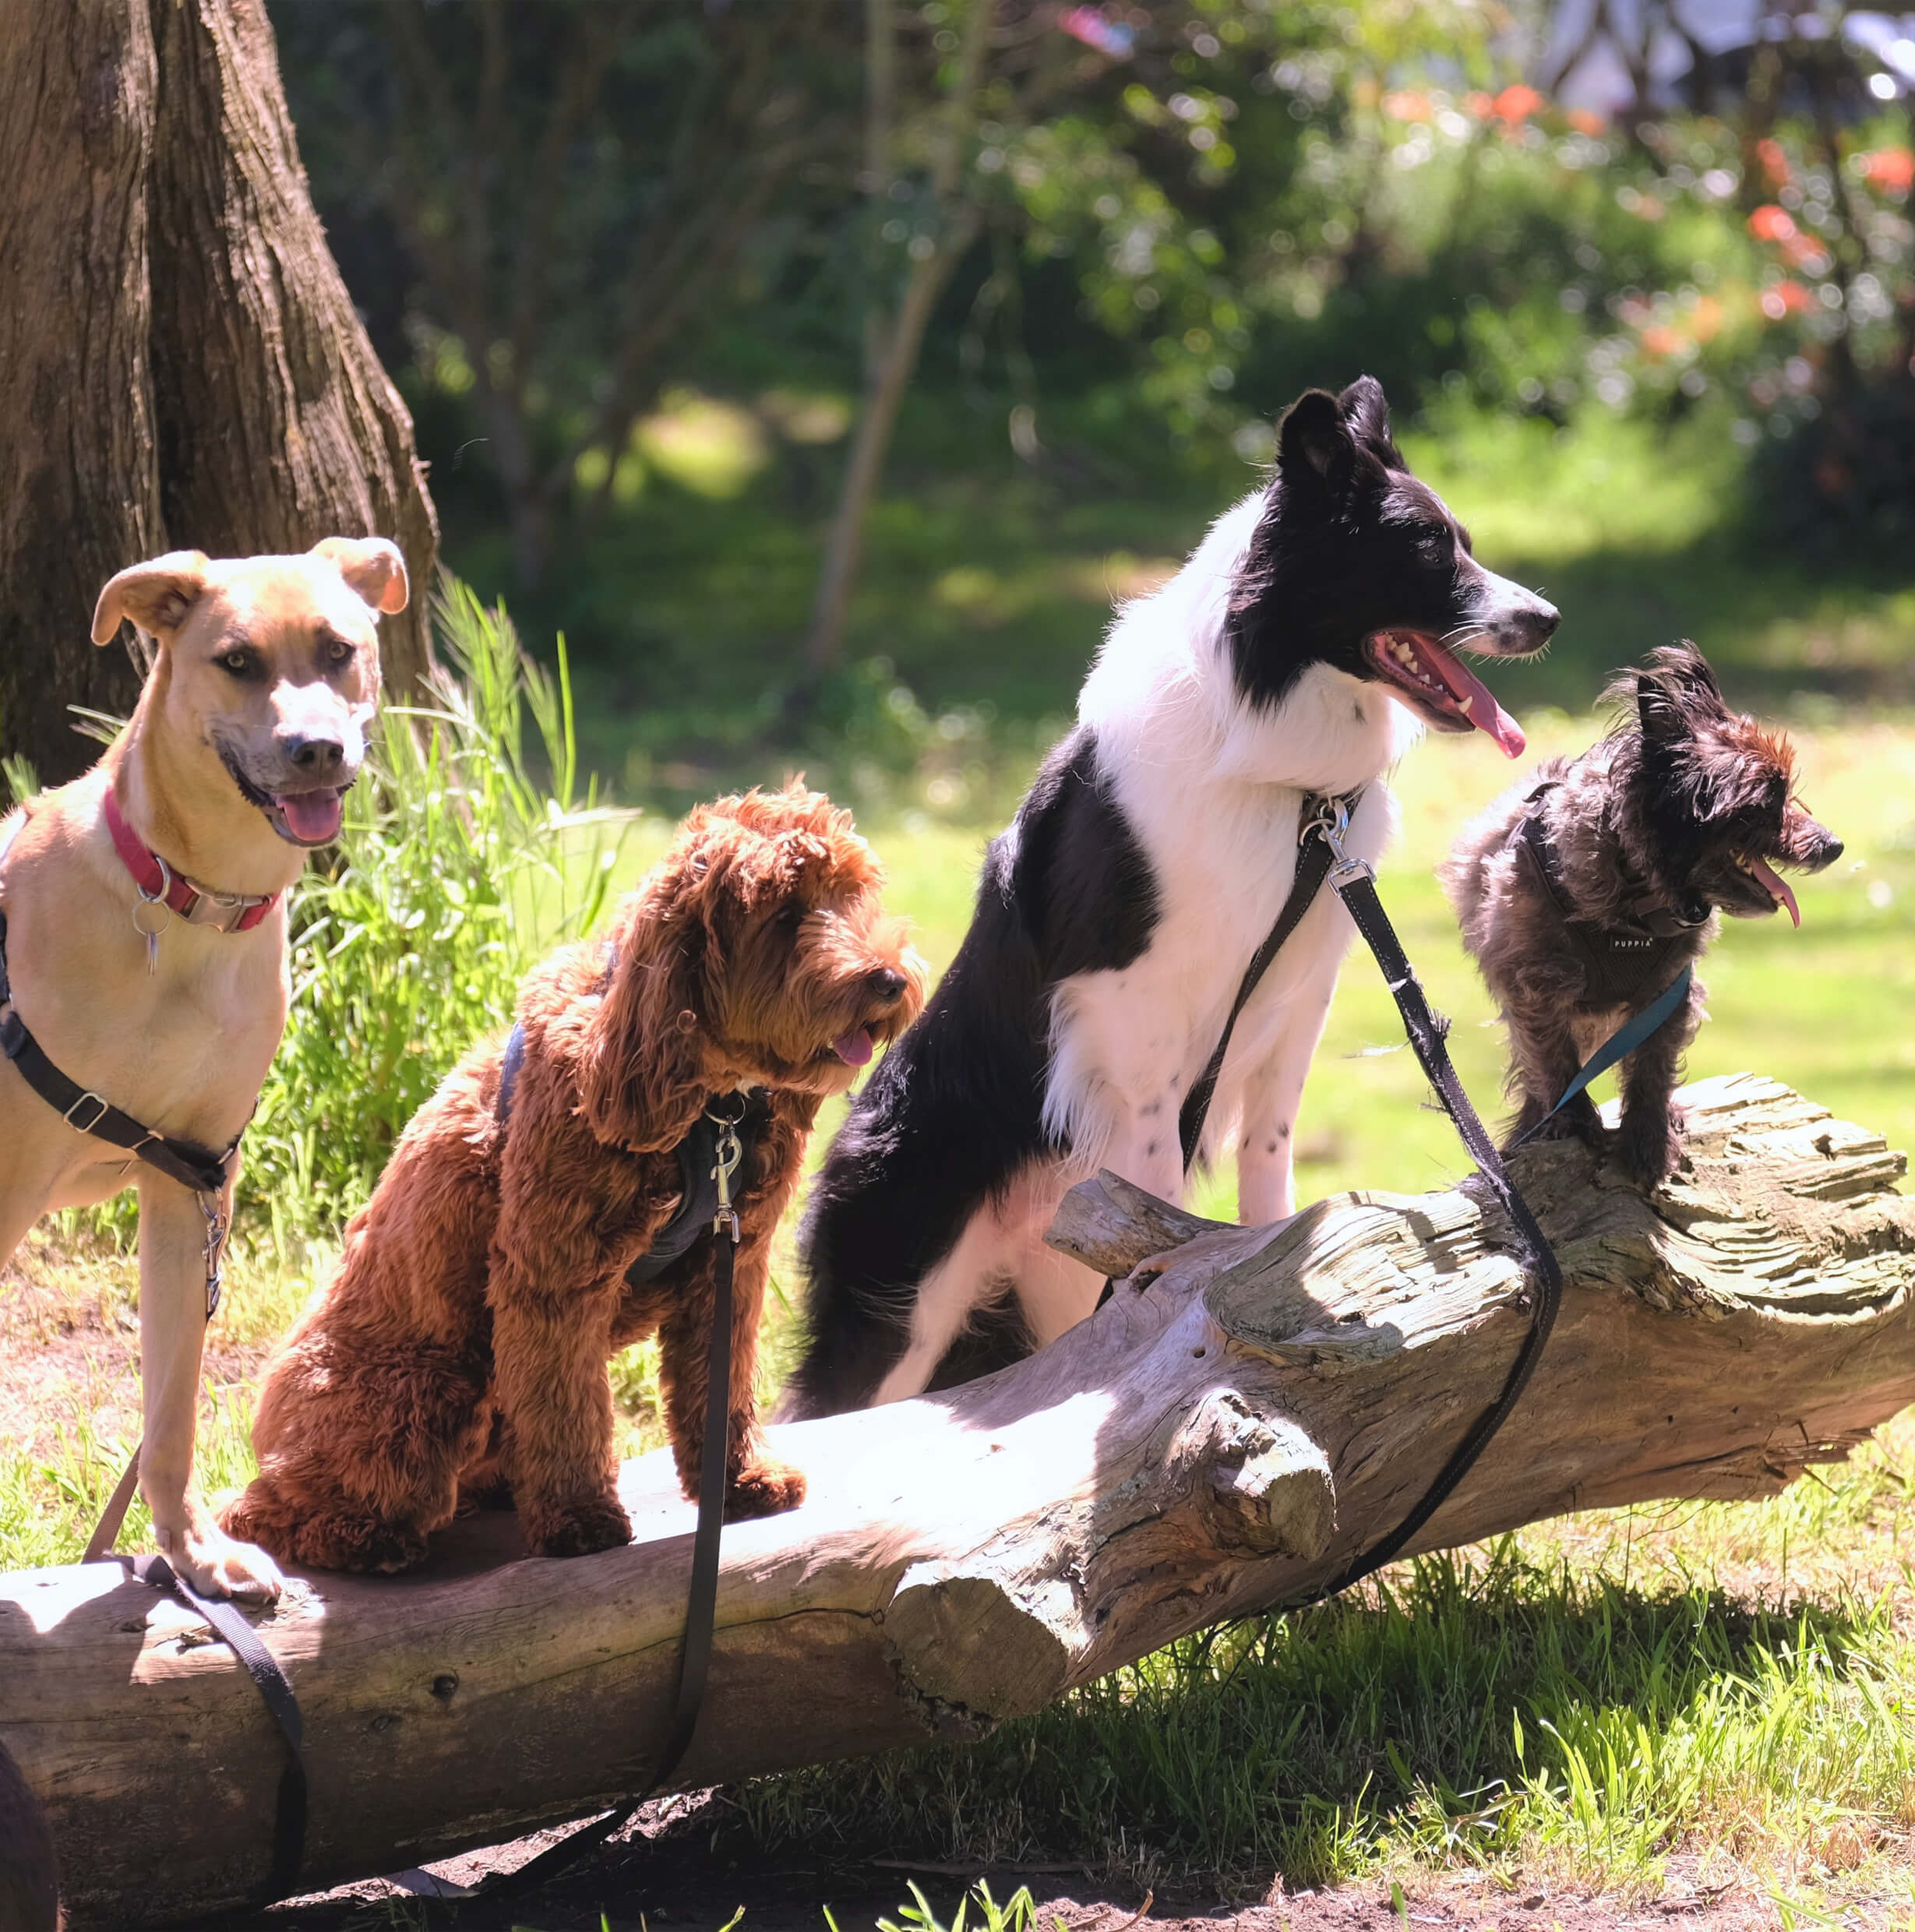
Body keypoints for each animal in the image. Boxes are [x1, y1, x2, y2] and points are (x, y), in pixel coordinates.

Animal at [0, 533, 404, 1599]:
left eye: (339, 649)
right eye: (237, 660)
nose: (316, 750)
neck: (188, 902)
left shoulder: (190, 1183)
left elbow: (171, 1409)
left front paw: (192, 1552)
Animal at [224, 784, 927, 1568]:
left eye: (853, 894)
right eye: (784, 915)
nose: (890, 980)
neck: (708, 1105)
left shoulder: (731, 1266)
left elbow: (719, 1386)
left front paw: (741, 1479)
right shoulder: (553, 1275)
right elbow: (566, 1407)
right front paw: (580, 1516)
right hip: (420, 1397)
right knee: (259, 1513)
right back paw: (365, 1539)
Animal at [1453, 649, 1839, 1182]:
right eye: (1766, 801)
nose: (1833, 845)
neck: (1633, 909)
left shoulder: (1668, 992)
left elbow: (1654, 1066)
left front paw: (1648, 1136)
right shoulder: (1535, 985)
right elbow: (1555, 1060)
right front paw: (1572, 1123)